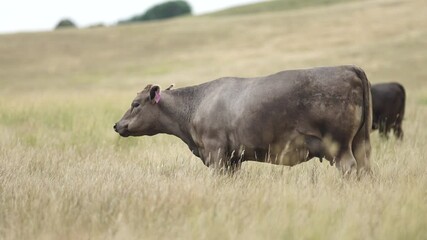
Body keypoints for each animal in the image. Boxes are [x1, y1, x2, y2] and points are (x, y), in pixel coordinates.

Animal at [115, 65, 372, 174]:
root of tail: (347, 68)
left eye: (135, 104)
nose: (117, 125)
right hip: (360, 142)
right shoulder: (233, 158)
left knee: (349, 167)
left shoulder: (216, 152)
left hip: (338, 144)